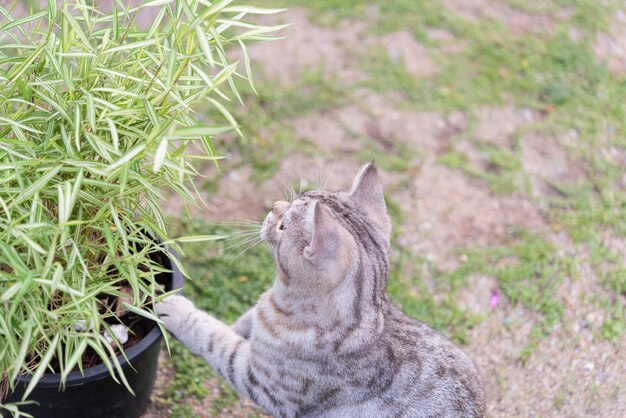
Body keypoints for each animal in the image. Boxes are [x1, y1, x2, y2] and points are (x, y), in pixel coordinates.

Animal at [155, 163, 482, 418]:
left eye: (284, 225)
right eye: (294, 200)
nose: (274, 206)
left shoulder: (261, 382)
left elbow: (215, 338)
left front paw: (177, 310)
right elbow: (243, 320)